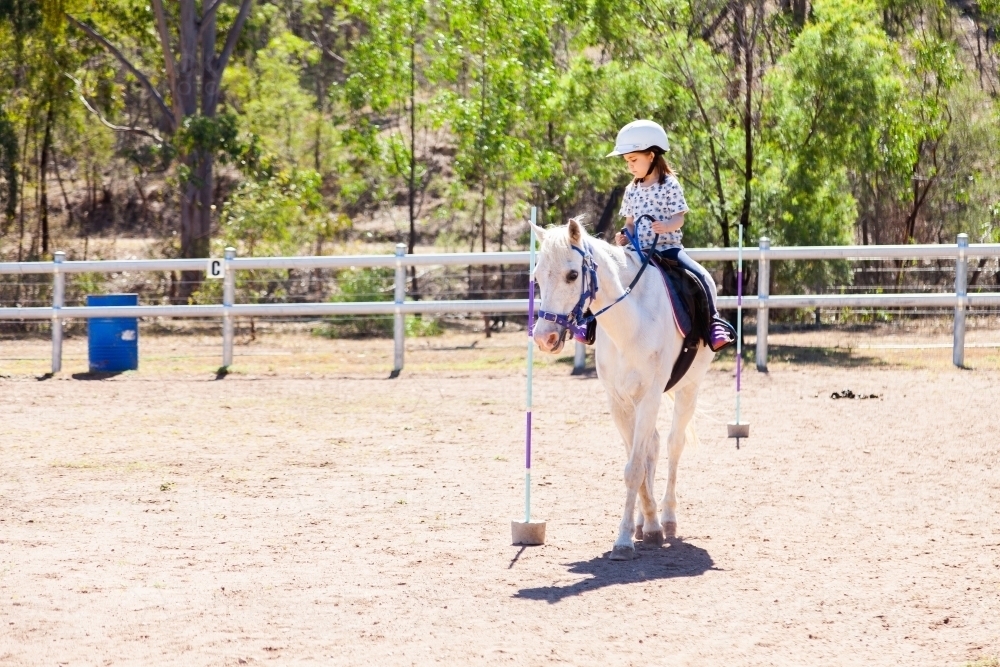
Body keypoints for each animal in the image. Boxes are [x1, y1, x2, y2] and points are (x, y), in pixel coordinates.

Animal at [528, 218, 716, 560]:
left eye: (572, 274)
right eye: (537, 277)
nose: (544, 337)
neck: (630, 323)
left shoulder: (650, 397)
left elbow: (634, 468)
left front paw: (627, 540)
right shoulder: (619, 402)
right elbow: (635, 463)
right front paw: (645, 525)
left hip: (689, 389)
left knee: (673, 445)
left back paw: (668, 517)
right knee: (653, 447)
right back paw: (648, 520)